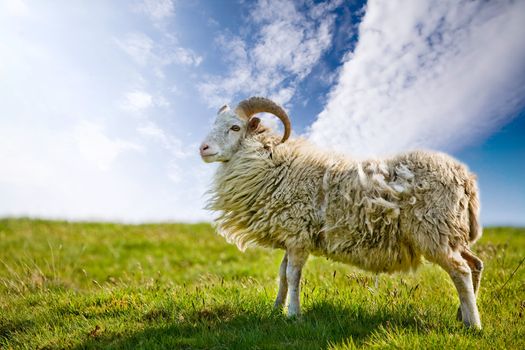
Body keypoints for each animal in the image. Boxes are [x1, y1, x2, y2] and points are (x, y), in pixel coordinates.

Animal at [198, 95, 484, 328]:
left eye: (235, 127)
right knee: (475, 264)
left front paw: (293, 315)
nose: (203, 149)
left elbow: (292, 275)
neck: (276, 164)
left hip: (434, 231)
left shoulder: (298, 235)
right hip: (450, 233)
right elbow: (282, 275)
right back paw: (462, 315)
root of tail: (465, 177)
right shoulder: (291, 235)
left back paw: (474, 326)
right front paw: (275, 310)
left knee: (461, 271)